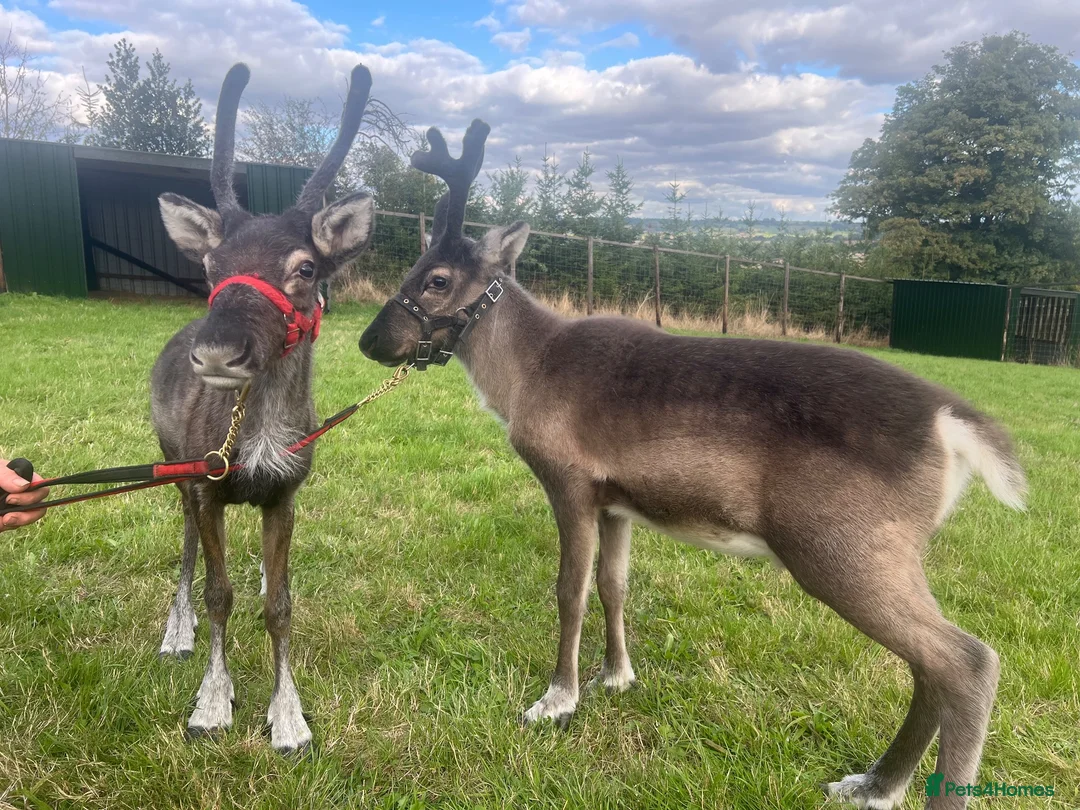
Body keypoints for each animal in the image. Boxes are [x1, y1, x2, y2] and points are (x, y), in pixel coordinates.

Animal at [152, 62, 376, 752]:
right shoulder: (206, 484)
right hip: (172, 464)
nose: (218, 350)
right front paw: (212, 702)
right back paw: (176, 630)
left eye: (305, 267)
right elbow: (218, 594)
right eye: (210, 264)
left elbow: (280, 604)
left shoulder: (285, 492)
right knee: (186, 549)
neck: (255, 443)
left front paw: (289, 718)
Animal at [357, 121, 1028, 809]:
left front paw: (557, 700)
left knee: (968, 661)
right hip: (885, 552)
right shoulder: (616, 500)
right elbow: (614, 584)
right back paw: (873, 783)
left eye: (436, 279)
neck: (523, 378)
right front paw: (617, 675)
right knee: (932, 664)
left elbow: (570, 589)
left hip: (843, 544)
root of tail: (951, 425)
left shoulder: (568, 481)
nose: (369, 340)